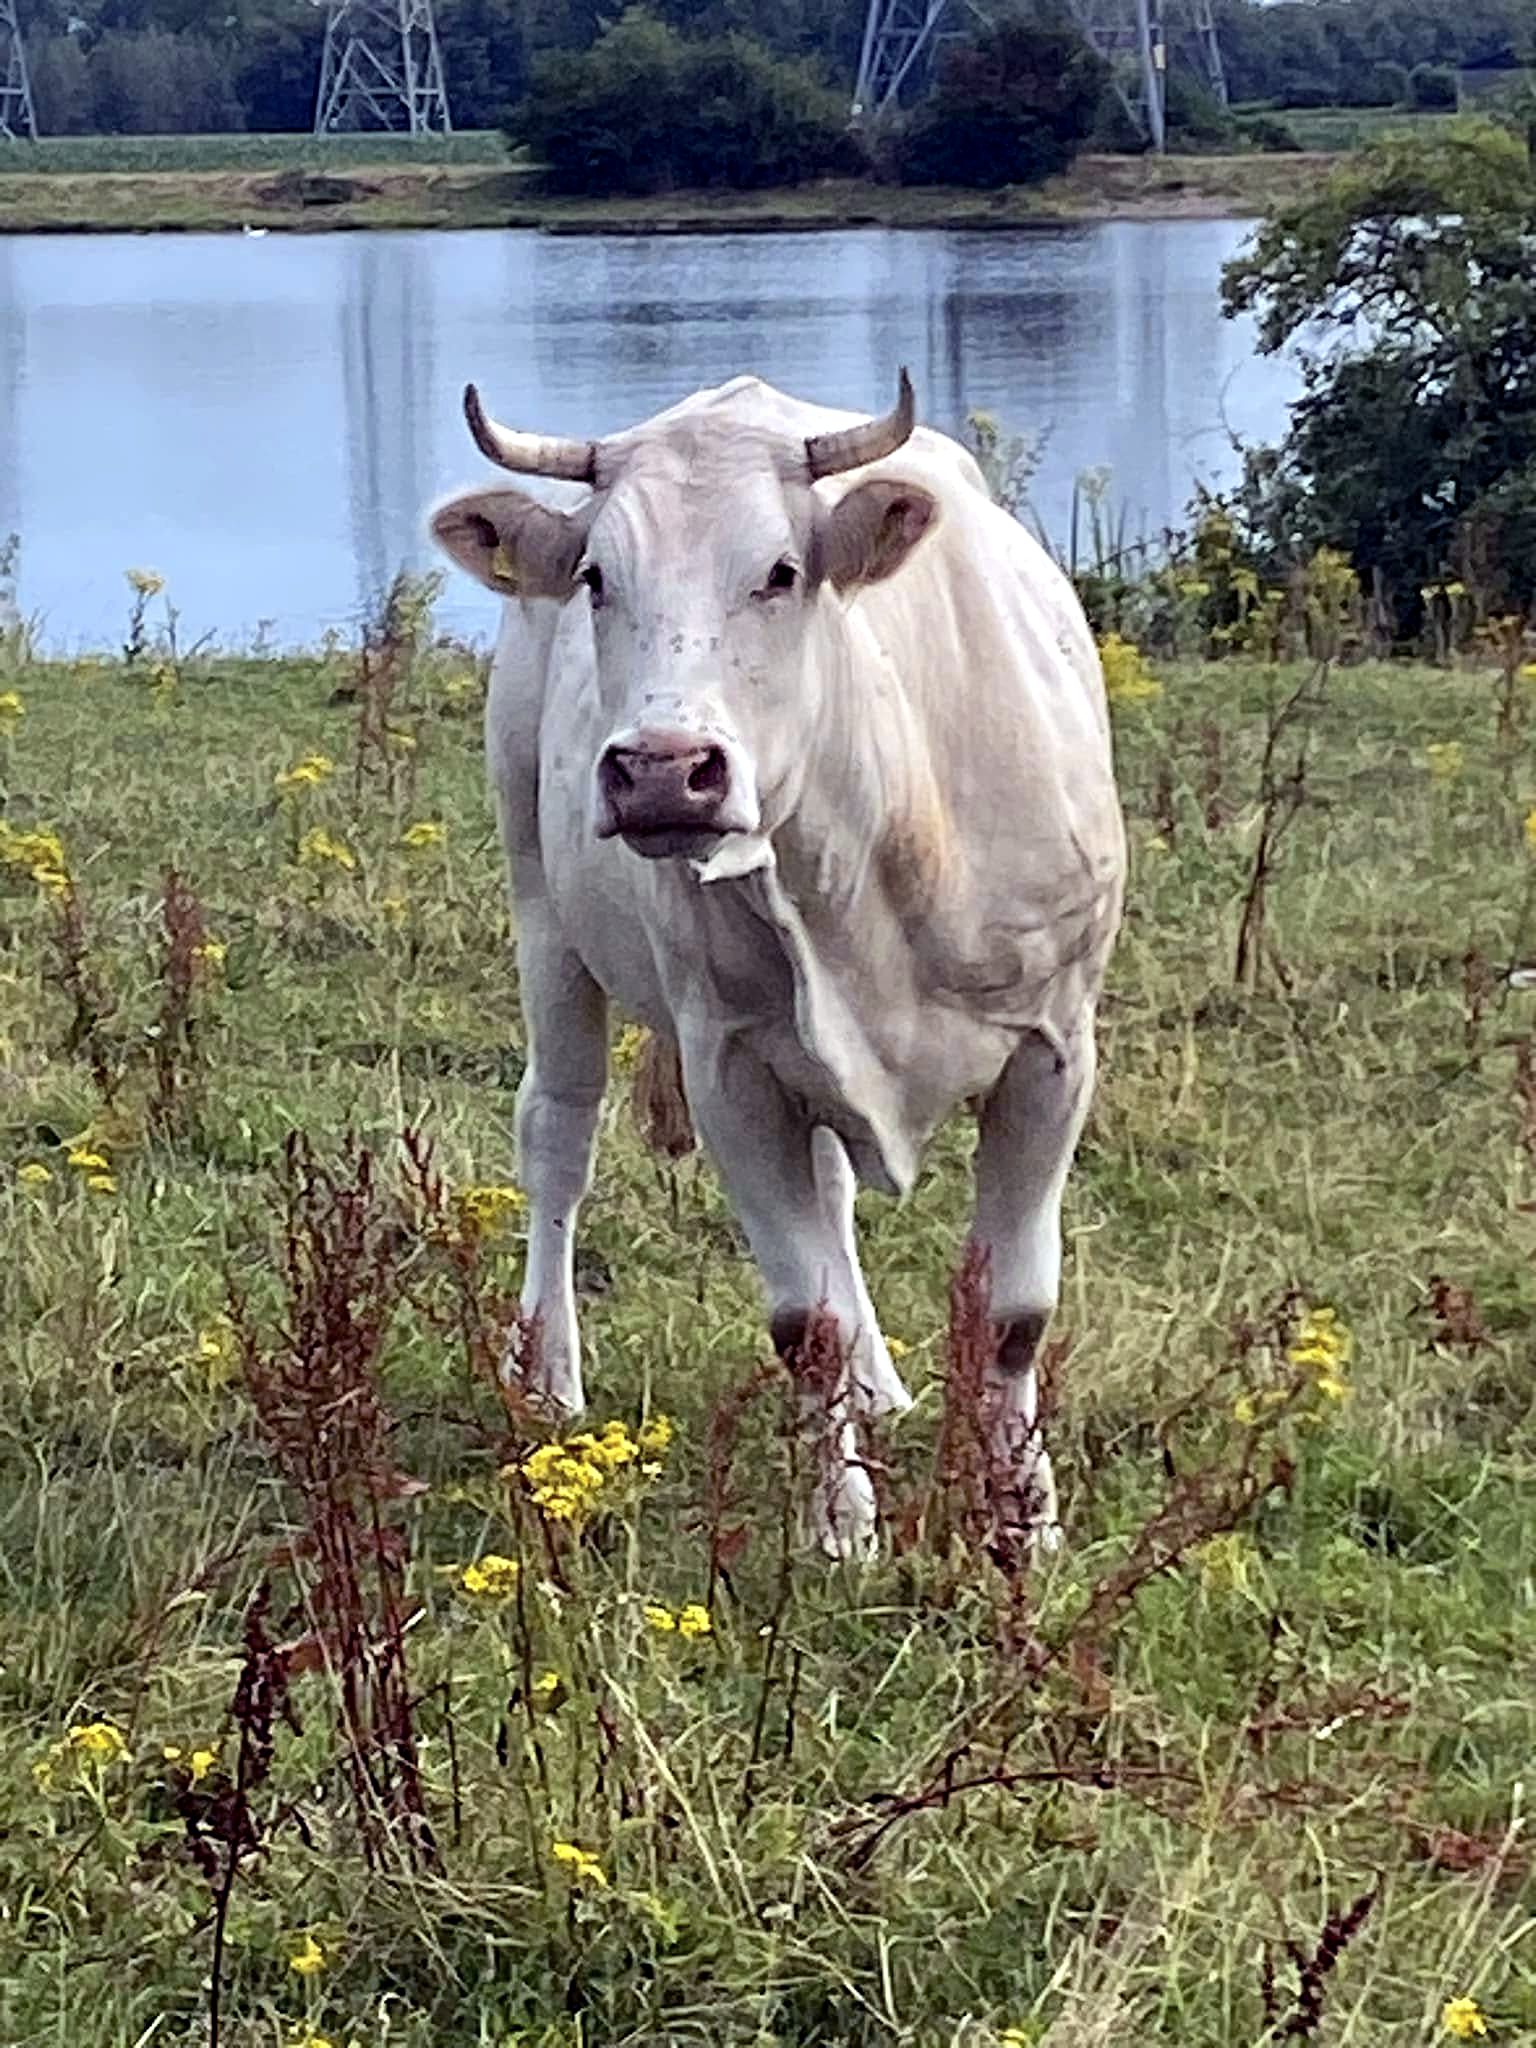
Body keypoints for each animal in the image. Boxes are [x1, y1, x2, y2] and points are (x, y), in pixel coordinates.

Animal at [429, 370, 1125, 1558]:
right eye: (597, 577)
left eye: (781, 571)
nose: (664, 769)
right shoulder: (732, 1068)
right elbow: (807, 1323)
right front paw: (842, 1528)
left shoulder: (1053, 1053)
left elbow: (1014, 1316)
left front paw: (1024, 1522)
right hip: (542, 911)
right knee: (557, 1133)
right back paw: (550, 1376)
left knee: (836, 1191)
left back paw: (885, 1386)